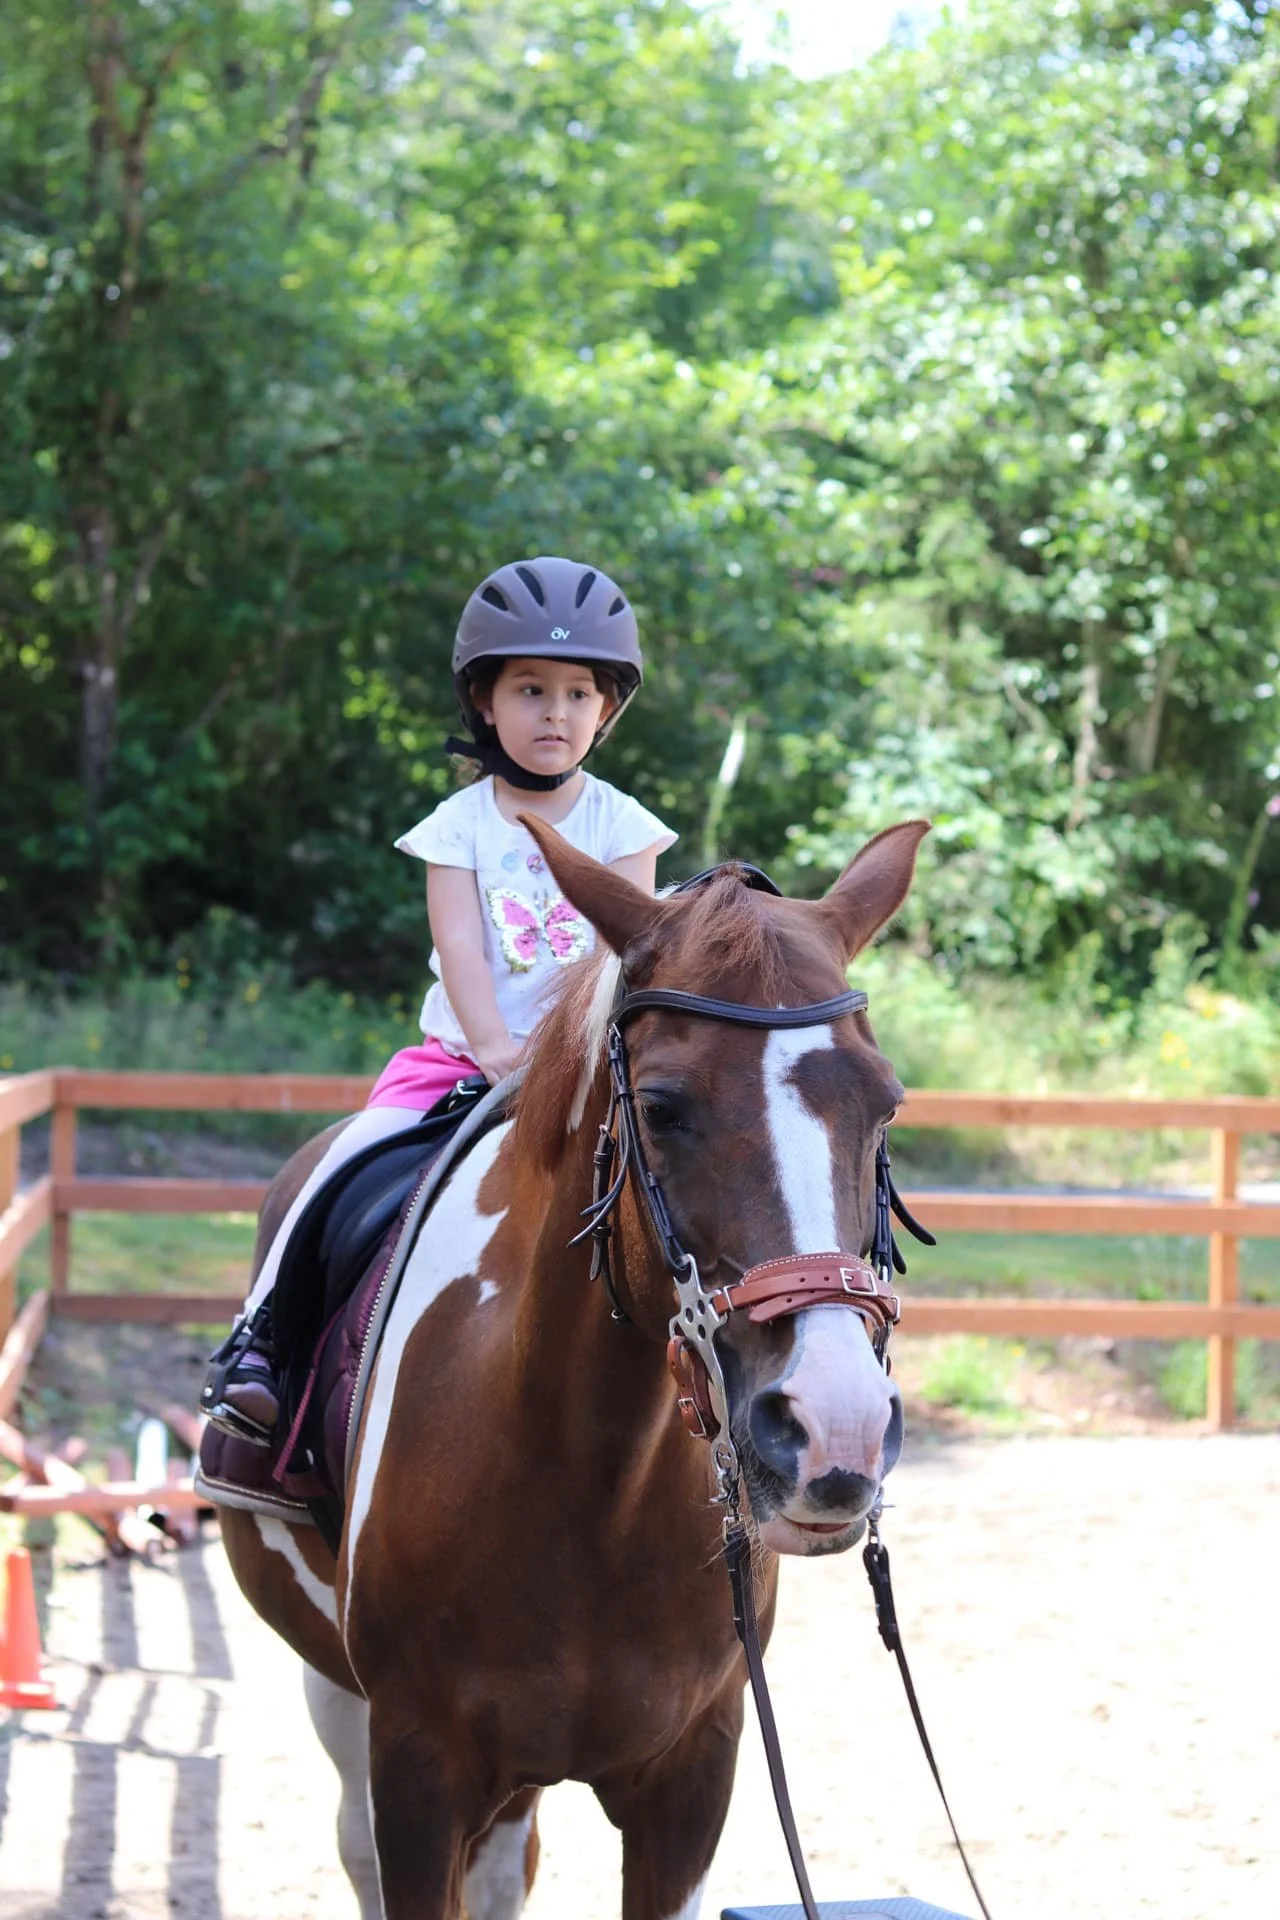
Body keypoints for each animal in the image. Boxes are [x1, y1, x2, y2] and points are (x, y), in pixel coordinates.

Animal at [217, 813, 929, 1920]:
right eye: (665, 1107)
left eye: (884, 1106)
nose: (831, 1431)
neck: (586, 1482)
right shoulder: (415, 1771)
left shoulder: (692, 1777)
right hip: (336, 1689)